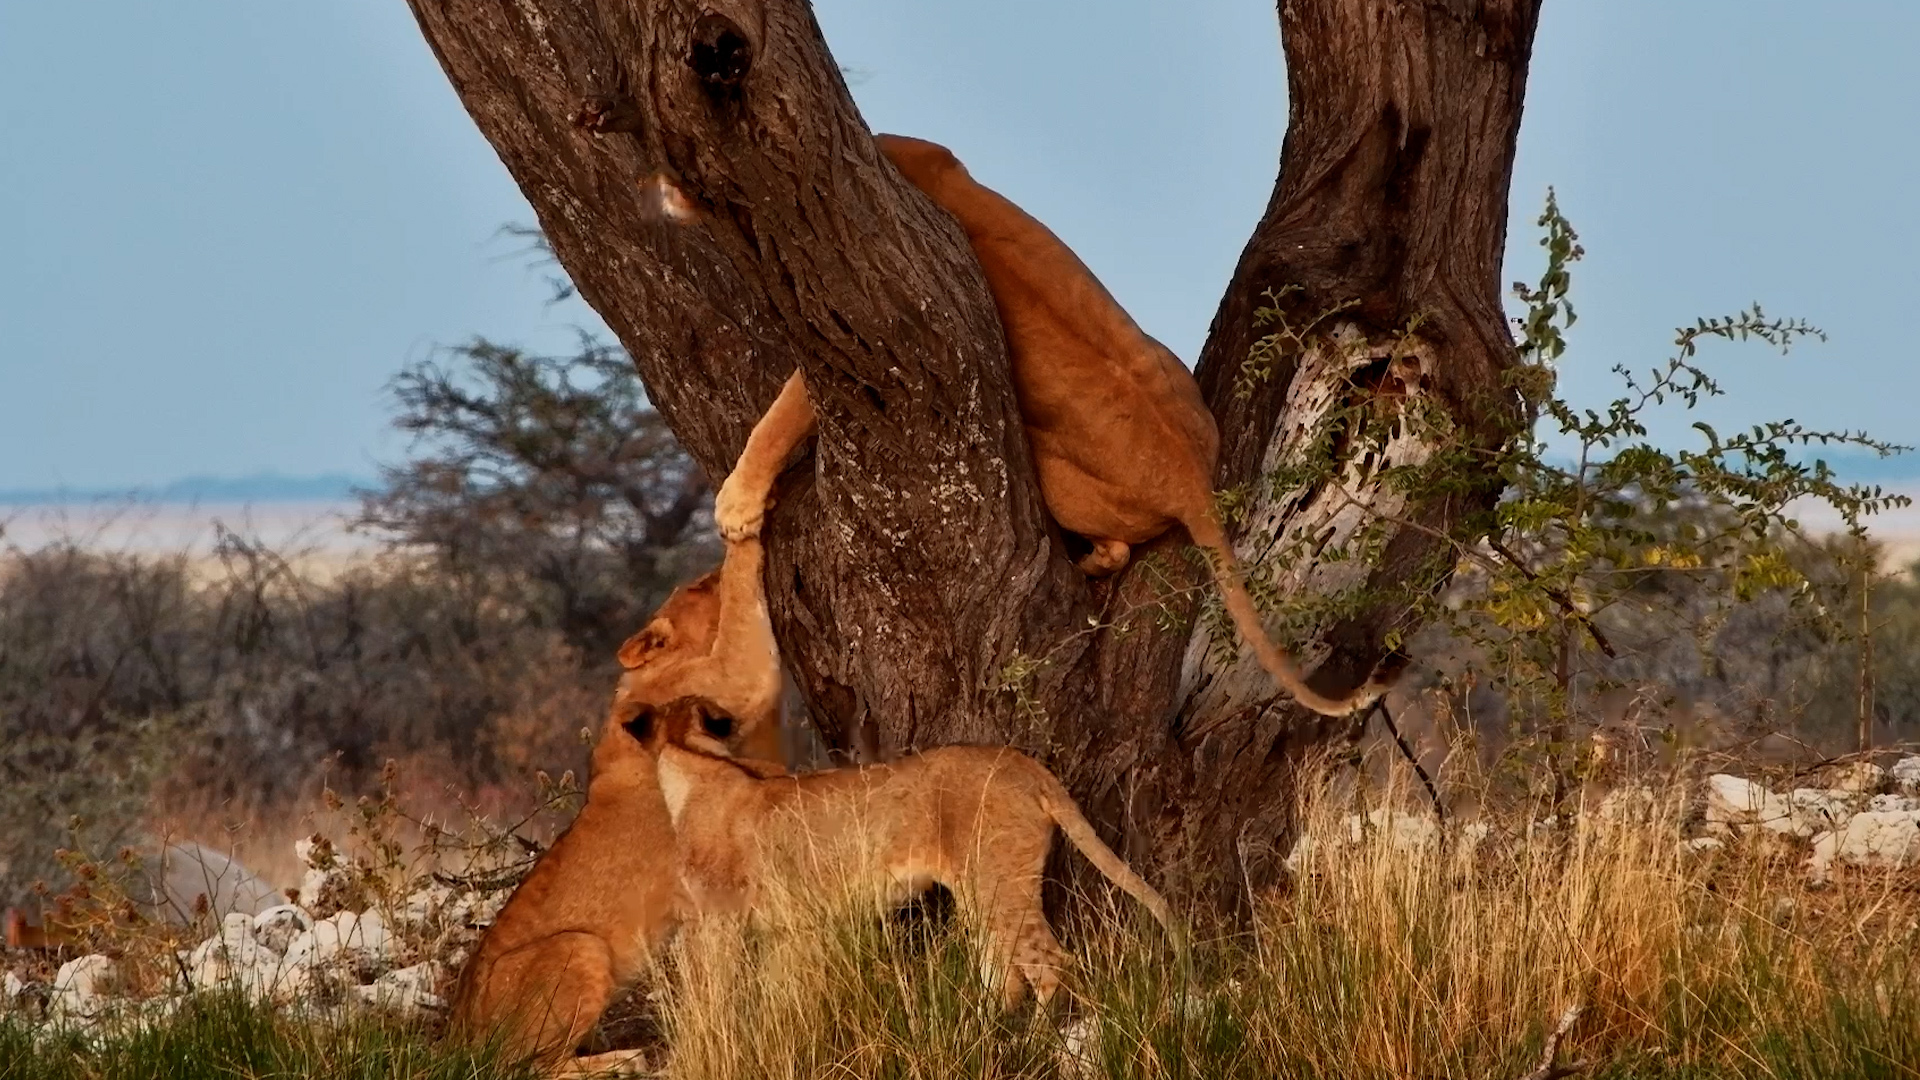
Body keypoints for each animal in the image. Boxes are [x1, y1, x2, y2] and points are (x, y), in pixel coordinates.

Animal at [447, 535, 785, 1076]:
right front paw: (747, 524)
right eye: (698, 586)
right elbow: (744, 626)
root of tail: (454, 1035)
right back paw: (625, 1060)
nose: (708, 565)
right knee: (532, 1067)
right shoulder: (729, 681)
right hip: (579, 946)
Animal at [623, 693, 1181, 1007]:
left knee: (1049, 964)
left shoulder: (719, 925)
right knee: (1005, 975)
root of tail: (1020, 762)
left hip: (999, 885)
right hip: (979, 893)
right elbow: (784, 997)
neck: (697, 764)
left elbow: (715, 996)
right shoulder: (790, 930)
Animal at [710, 134, 1398, 719]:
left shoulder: (855, 335)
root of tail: (1194, 482)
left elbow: (778, 416)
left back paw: (1089, 564)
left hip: (1052, 474)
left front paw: (736, 506)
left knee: (1114, 546)